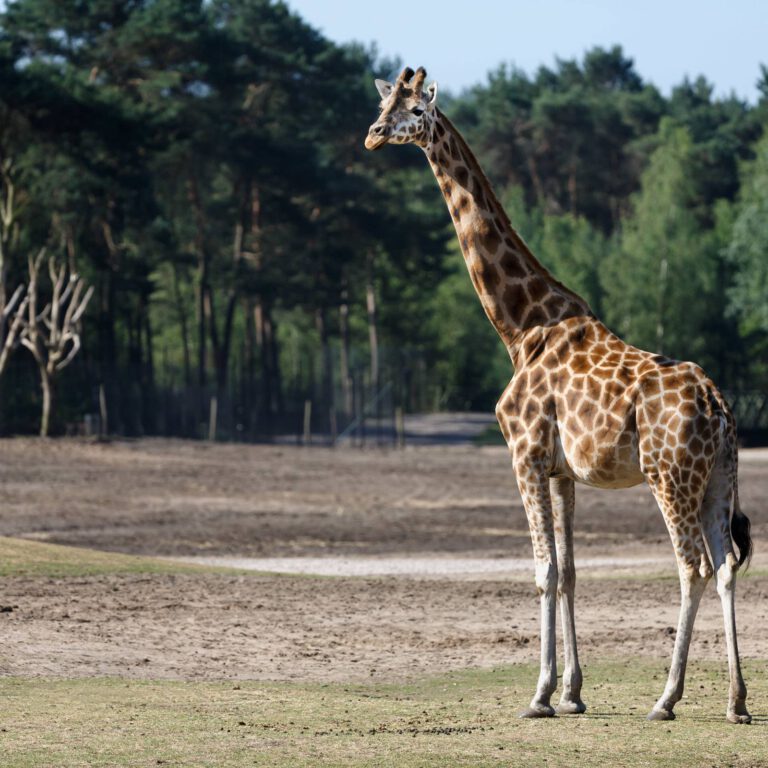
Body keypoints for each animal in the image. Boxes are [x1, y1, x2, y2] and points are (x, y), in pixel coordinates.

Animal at [364, 64, 752, 720]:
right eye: (385, 102)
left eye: (415, 109)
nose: (371, 135)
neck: (520, 327)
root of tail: (720, 408)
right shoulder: (563, 470)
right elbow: (570, 570)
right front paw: (572, 692)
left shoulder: (523, 454)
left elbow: (543, 569)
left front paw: (540, 694)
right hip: (718, 477)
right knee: (725, 566)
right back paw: (736, 701)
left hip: (670, 475)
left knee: (692, 565)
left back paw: (667, 698)